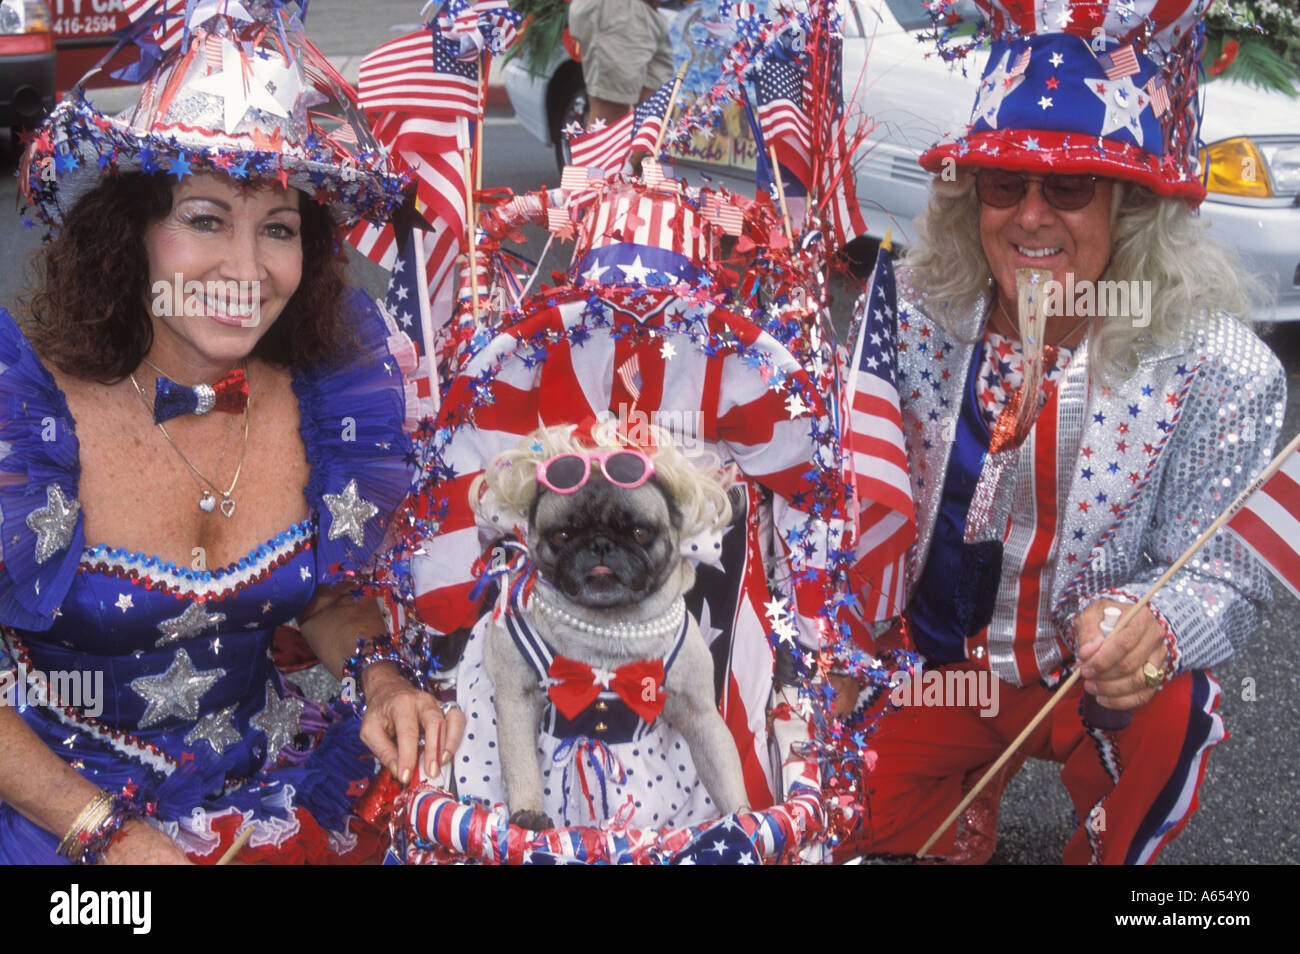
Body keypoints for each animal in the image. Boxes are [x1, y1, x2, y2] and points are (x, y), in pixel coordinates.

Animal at [473, 421, 748, 831]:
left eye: (639, 533)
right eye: (562, 535)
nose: (600, 544)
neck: (609, 625)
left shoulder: (700, 713)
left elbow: (725, 773)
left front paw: (746, 818)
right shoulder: (516, 699)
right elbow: (521, 764)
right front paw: (528, 815)